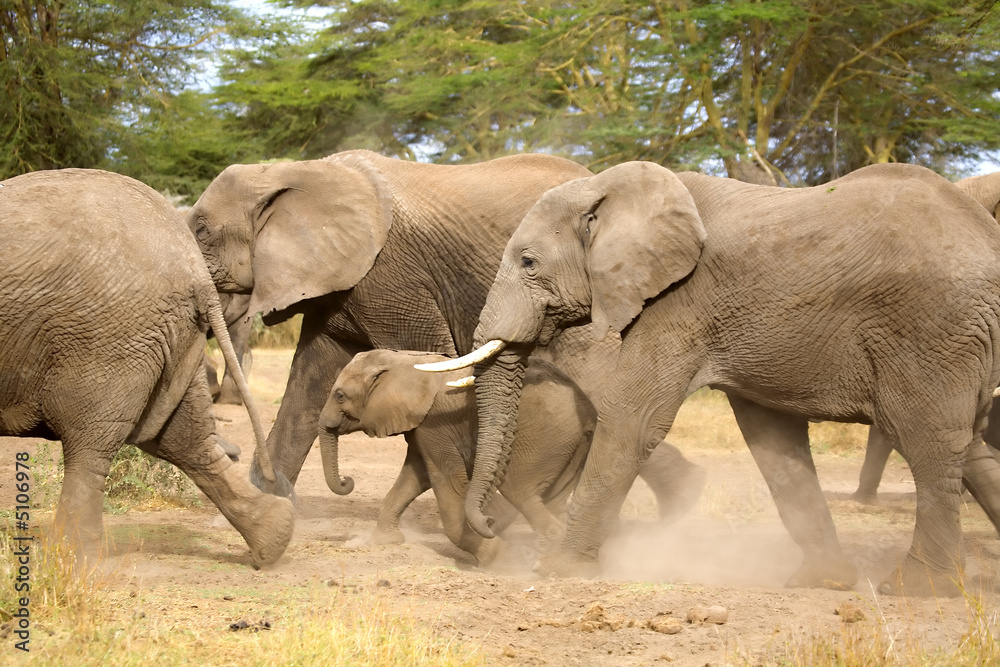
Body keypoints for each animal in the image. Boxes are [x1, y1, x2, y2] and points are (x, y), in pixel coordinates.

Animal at [0, 169, 293, 566]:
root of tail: (194, 268)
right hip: (167, 335)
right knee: (181, 438)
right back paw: (275, 536)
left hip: (109, 336)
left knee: (90, 442)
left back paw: (68, 558)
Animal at [186, 150, 705, 540]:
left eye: (201, 231)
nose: (347, 483)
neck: (293, 170)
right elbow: (310, 380)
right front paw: (264, 509)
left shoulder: (391, 275)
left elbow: (426, 361)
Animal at [318, 349, 595, 565]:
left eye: (340, 395)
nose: (346, 480)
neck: (405, 361)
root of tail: (589, 413)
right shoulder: (422, 428)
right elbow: (414, 478)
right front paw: (382, 541)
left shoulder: (435, 426)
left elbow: (446, 482)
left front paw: (495, 558)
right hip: (567, 449)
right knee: (551, 501)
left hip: (542, 439)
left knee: (520, 491)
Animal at [421, 161, 1000, 596]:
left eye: (528, 261)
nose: (487, 527)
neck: (614, 188)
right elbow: (772, 441)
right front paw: (822, 583)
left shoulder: (678, 302)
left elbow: (635, 419)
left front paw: (558, 572)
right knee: (968, 444)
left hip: (932, 329)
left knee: (927, 441)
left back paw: (919, 589)